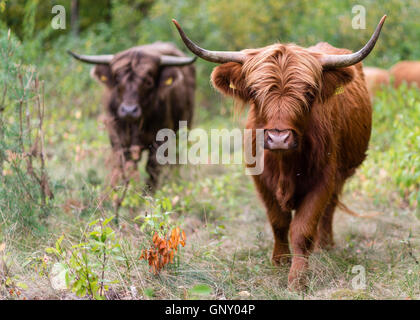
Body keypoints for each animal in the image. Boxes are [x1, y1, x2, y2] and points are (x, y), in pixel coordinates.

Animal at [69, 42, 197, 190]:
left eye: (148, 82)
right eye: (117, 80)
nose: (129, 110)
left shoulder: (161, 140)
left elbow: (152, 169)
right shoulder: (117, 138)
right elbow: (126, 166)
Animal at [173, 15, 388, 290]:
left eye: (309, 93)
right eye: (255, 92)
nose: (278, 138)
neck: (285, 164)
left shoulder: (324, 179)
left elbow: (303, 229)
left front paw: (298, 278)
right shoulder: (261, 180)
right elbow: (278, 222)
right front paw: (280, 261)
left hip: (341, 173)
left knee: (329, 209)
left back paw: (325, 246)